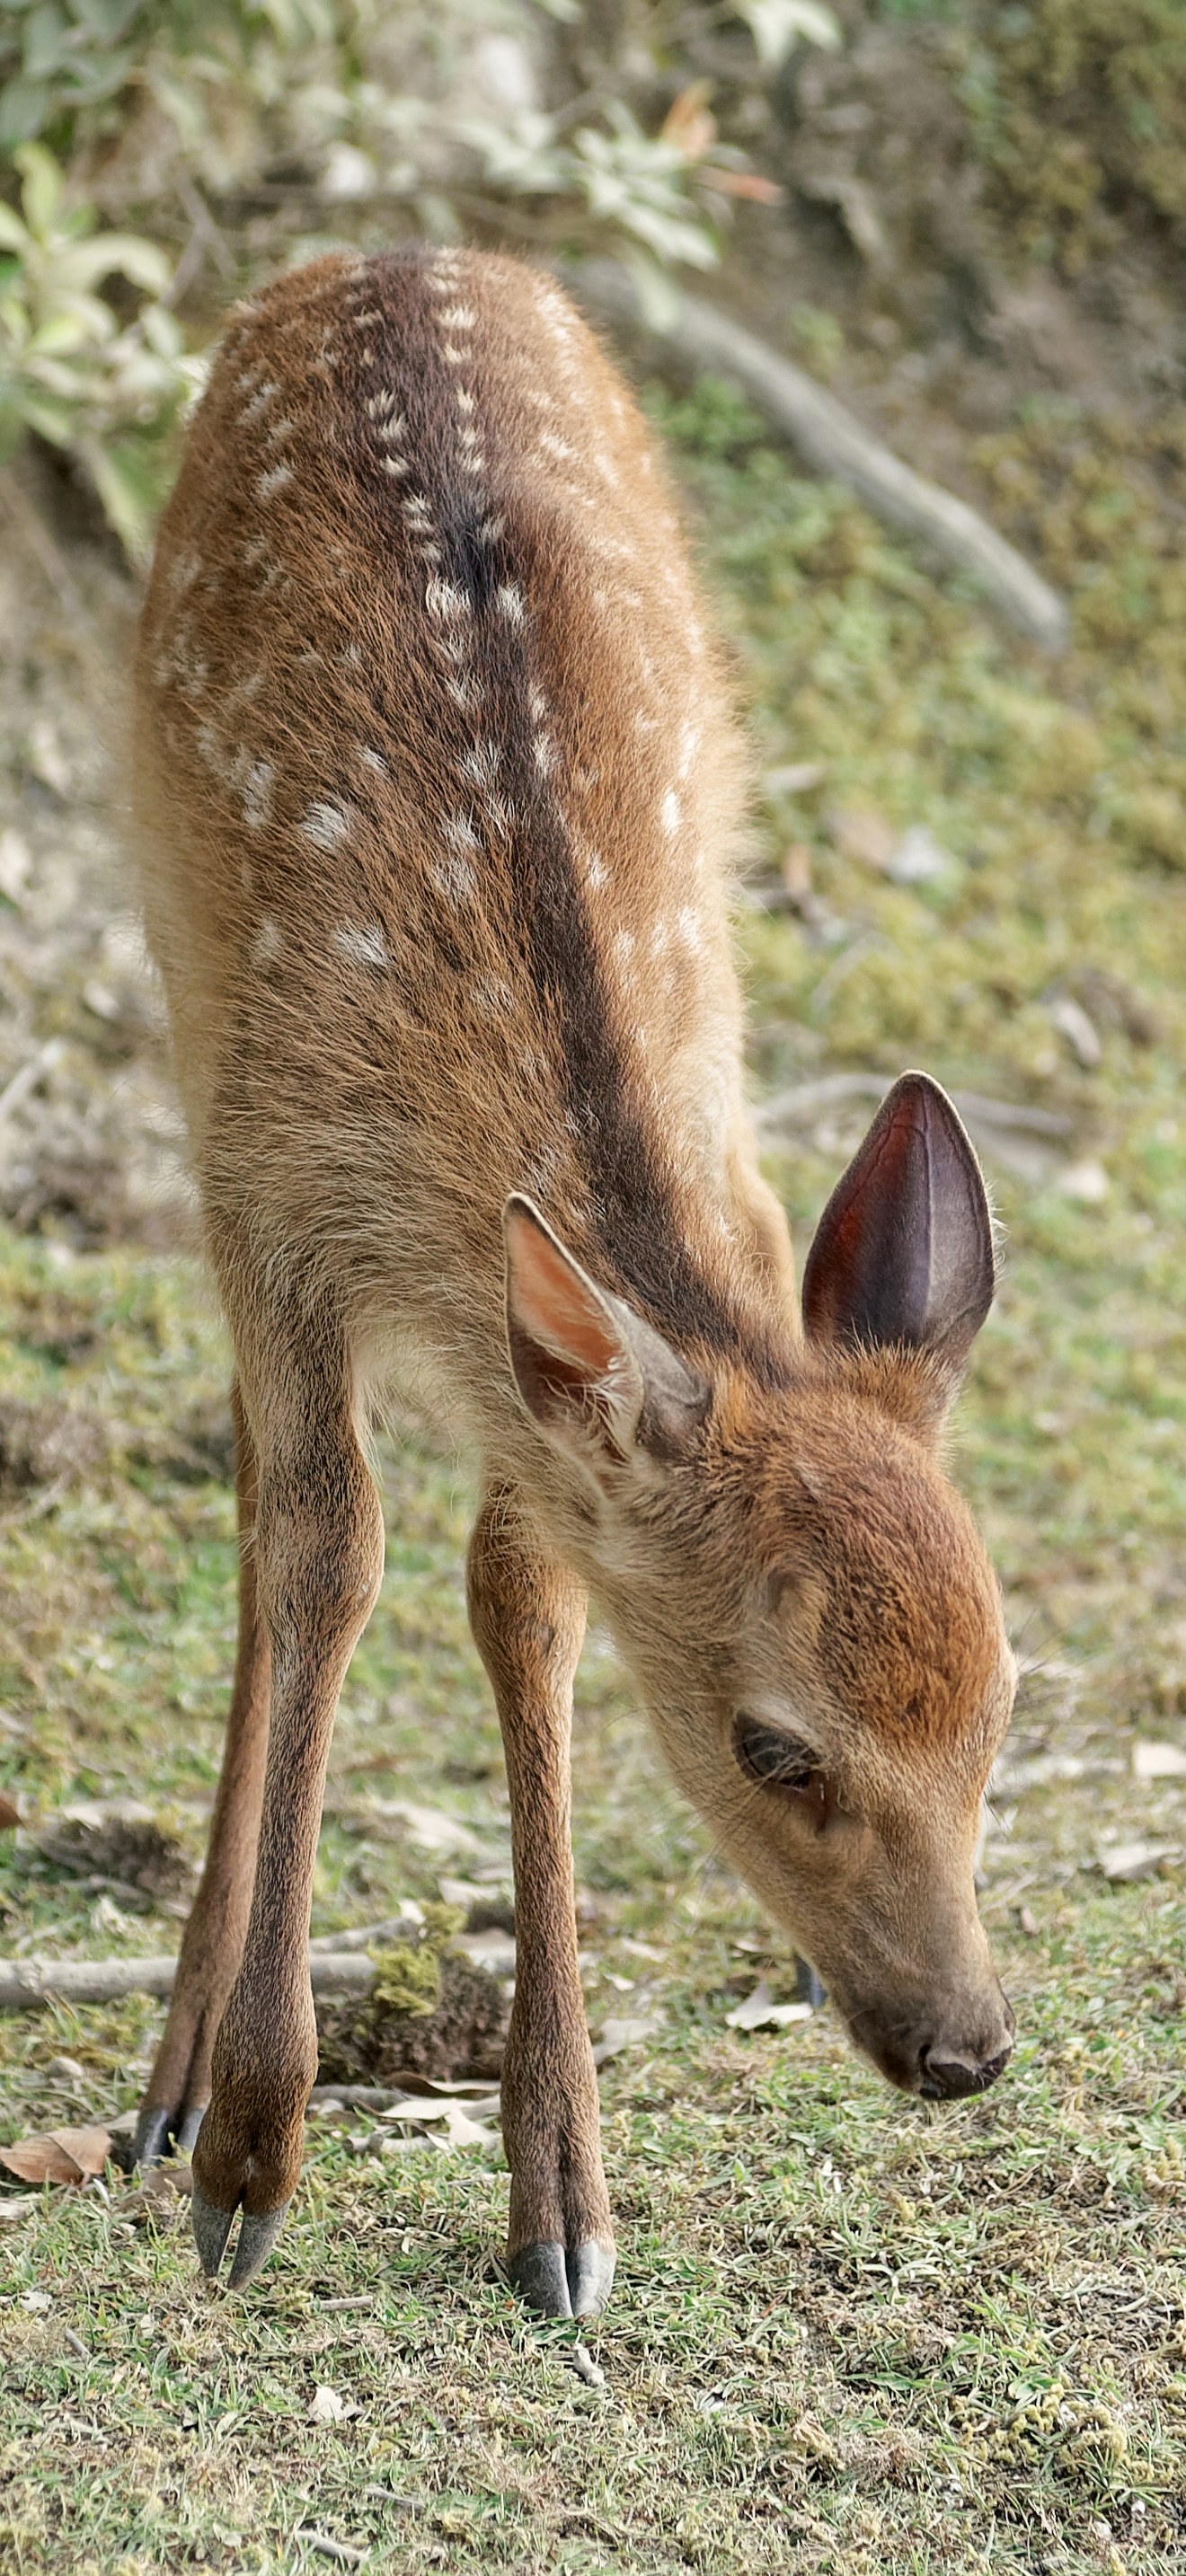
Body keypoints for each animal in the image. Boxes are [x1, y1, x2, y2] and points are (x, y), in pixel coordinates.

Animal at [128, 244, 1017, 2319]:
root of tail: (379, 254)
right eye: (777, 1744)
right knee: (261, 1515)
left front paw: (561, 2193)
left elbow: (521, 1600)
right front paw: (253, 2152)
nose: (968, 2046)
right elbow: (326, 1553)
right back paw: (170, 2076)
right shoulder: (271, 1189)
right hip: (177, 972)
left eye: (1005, 1707)